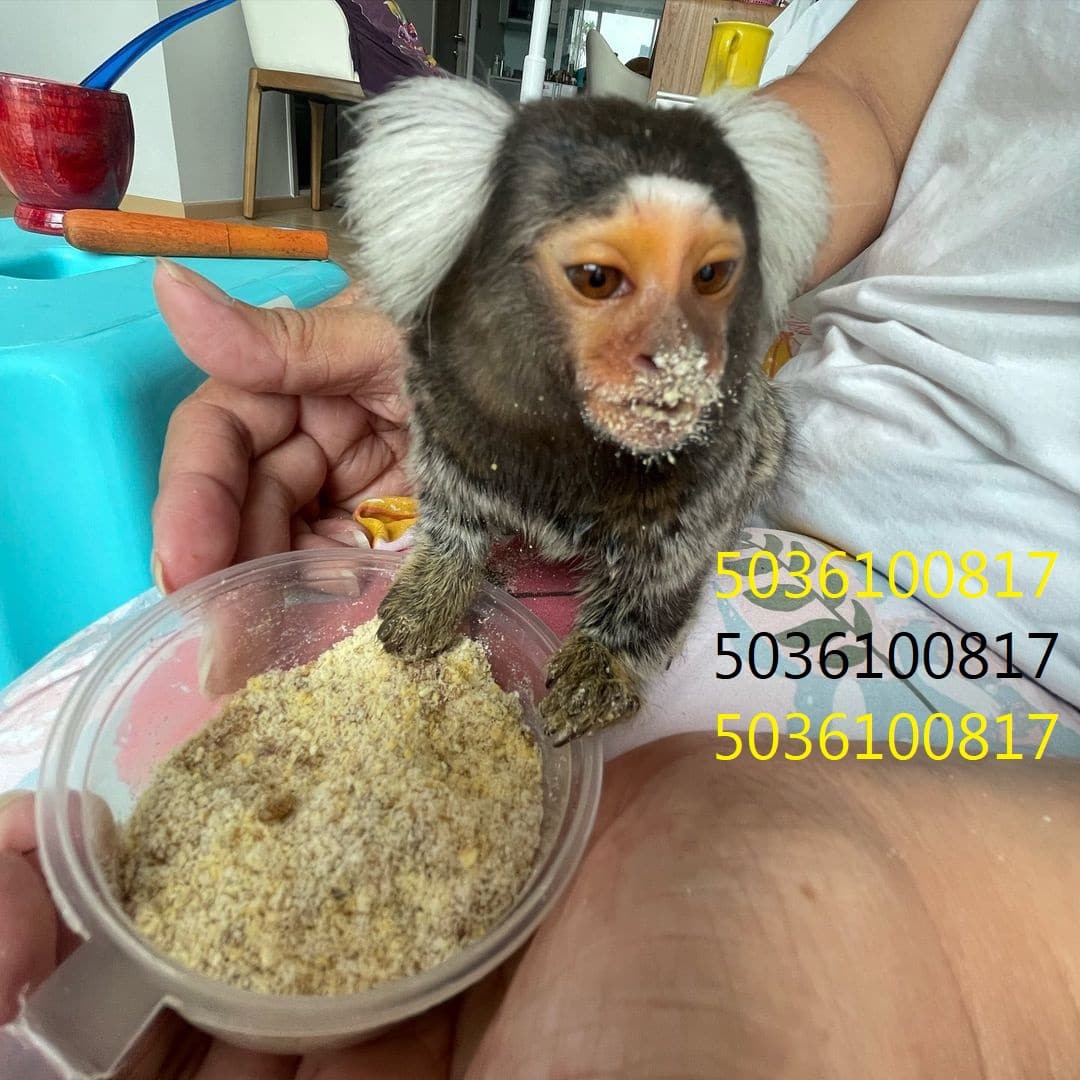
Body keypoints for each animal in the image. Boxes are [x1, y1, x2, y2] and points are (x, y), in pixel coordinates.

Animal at [342, 79, 828, 744]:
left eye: (710, 275)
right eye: (597, 278)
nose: (673, 355)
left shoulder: (703, 485)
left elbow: (659, 582)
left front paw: (601, 665)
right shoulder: (448, 428)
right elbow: (453, 519)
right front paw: (433, 589)